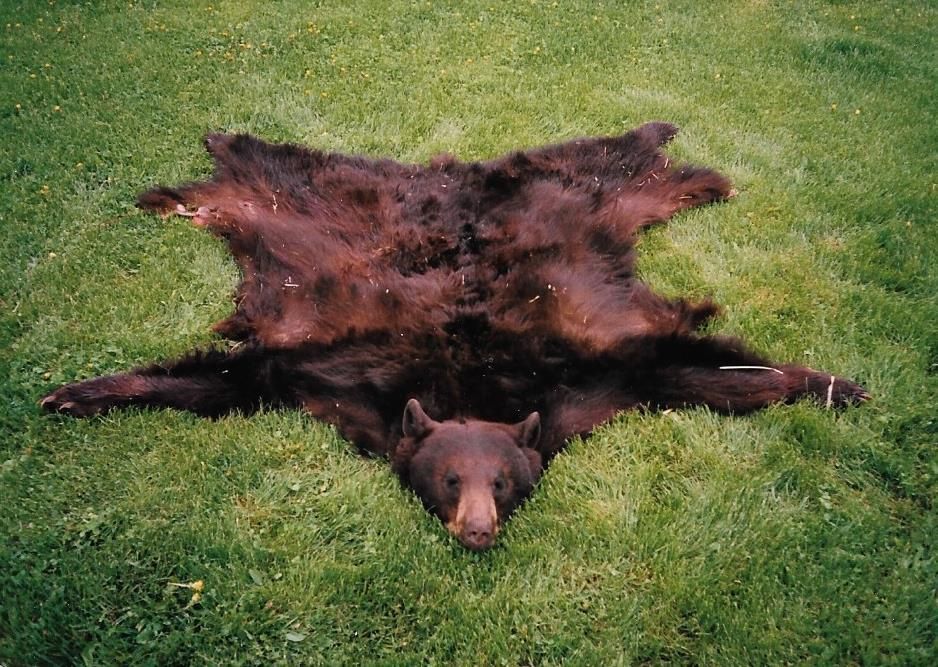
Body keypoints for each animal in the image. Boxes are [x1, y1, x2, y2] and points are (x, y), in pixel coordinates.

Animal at [41, 122, 869, 550]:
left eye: (501, 481)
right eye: (448, 478)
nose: (477, 529)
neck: (466, 386)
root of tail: (450, 179)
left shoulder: (595, 373)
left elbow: (705, 370)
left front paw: (834, 382)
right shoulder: (328, 374)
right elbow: (221, 379)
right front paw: (80, 390)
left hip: (581, 201)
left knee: (622, 162)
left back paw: (690, 162)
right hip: (301, 199)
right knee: (261, 166)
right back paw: (183, 181)